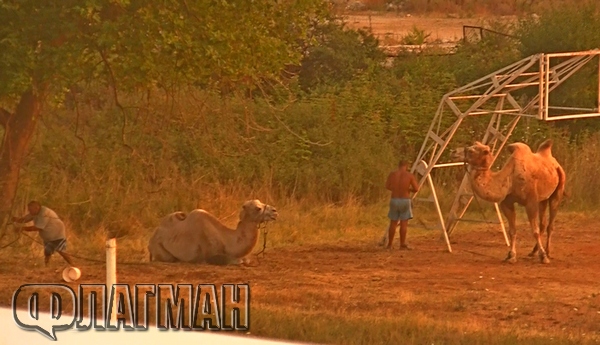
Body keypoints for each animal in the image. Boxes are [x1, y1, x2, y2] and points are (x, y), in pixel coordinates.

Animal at [150, 199, 282, 264]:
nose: (275, 211)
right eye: (258, 208)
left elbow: (246, 259)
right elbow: (236, 260)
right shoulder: (211, 254)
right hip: (159, 248)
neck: (227, 239)